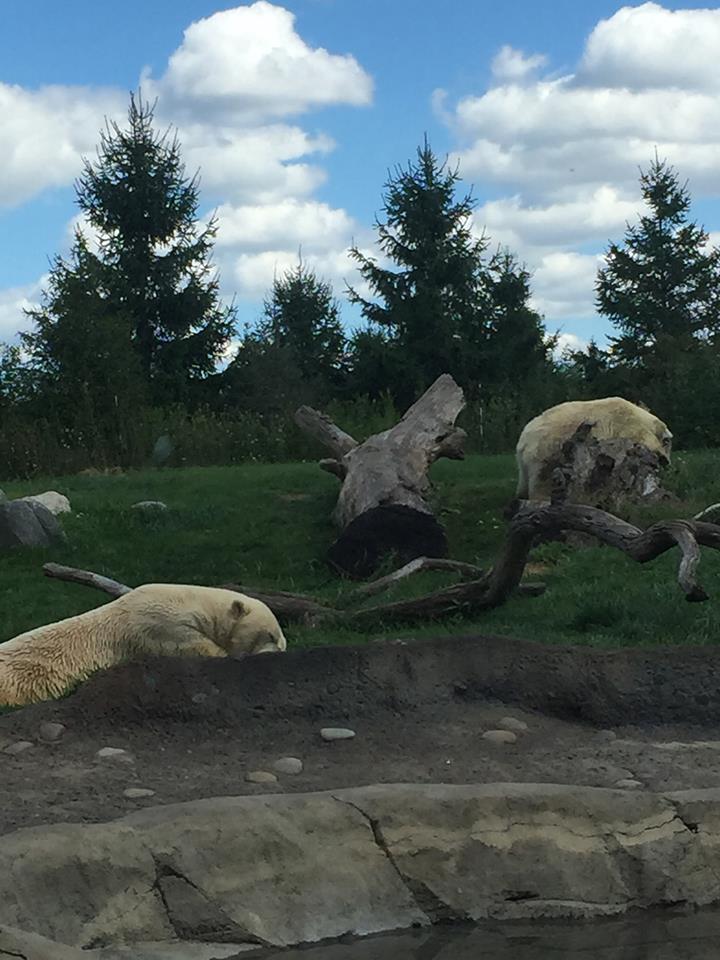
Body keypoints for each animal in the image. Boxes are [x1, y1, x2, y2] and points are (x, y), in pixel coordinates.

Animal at [515, 397, 672, 501]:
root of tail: (523, 439)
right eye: (667, 441)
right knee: (542, 481)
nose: (666, 461)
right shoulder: (627, 428)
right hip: (547, 451)